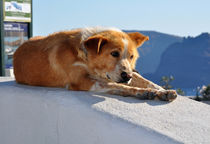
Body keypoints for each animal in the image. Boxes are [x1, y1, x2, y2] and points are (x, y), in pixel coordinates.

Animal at [13, 27, 177, 101]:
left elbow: (146, 81)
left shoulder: (125, 73)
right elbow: (119, 86)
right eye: (114, 54)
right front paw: (142, 92)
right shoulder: (81, 81)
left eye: (131, 56)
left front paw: (163, 91)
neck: (85, 56)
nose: (127, 76)